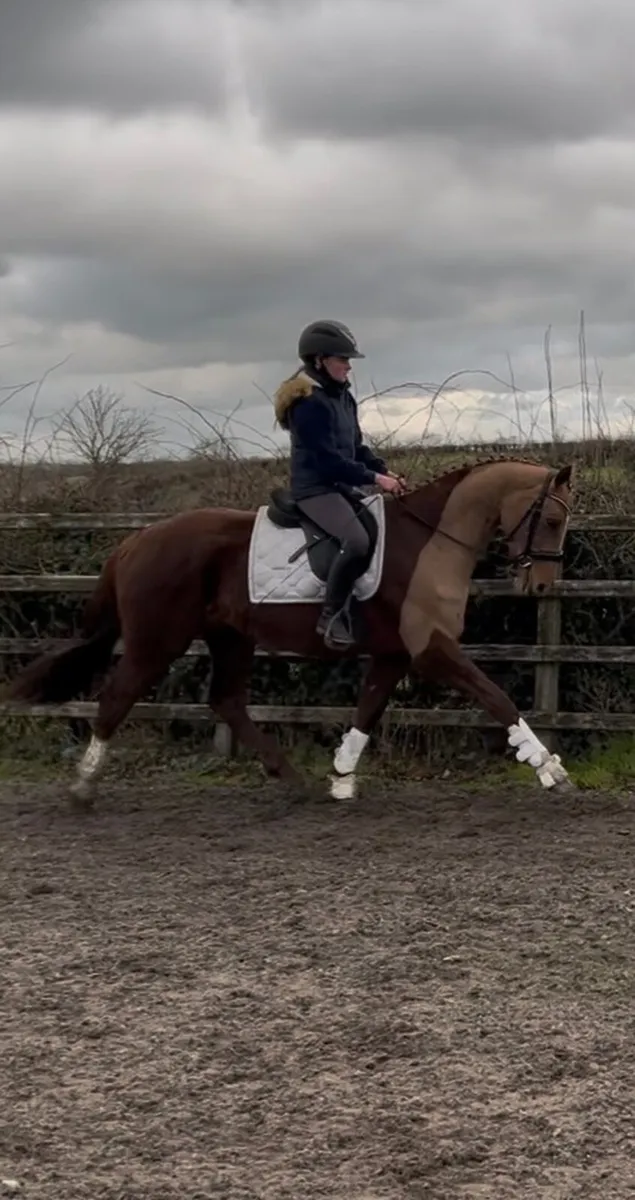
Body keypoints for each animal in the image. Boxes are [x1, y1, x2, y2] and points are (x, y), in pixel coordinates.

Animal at [4, 456, 575, 808]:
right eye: (550, 521)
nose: (542, 585)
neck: (431, 540)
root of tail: (135, 541)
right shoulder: (431, 649)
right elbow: (497, 697)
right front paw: (550, 769)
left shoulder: (394, 654)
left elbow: (368, 708)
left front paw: (341, 778)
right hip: (157, 642)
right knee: (117, 698)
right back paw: (83, 787)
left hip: (230, 637)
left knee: (226, 701)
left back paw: (292, 780)